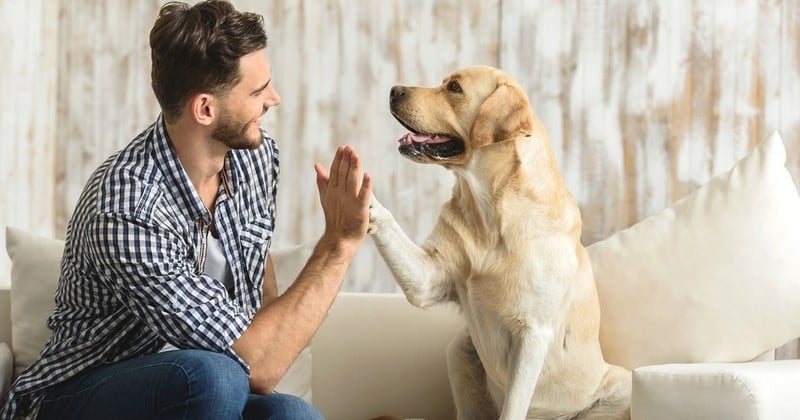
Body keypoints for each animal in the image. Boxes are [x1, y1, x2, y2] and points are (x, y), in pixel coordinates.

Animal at [368, 67, 632, 418]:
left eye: (454, 88)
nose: (394, 90)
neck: (491, 213)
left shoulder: (533, 333)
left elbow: (513, 407)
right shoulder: (429, 279)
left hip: (620, 385)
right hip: (460, 351)